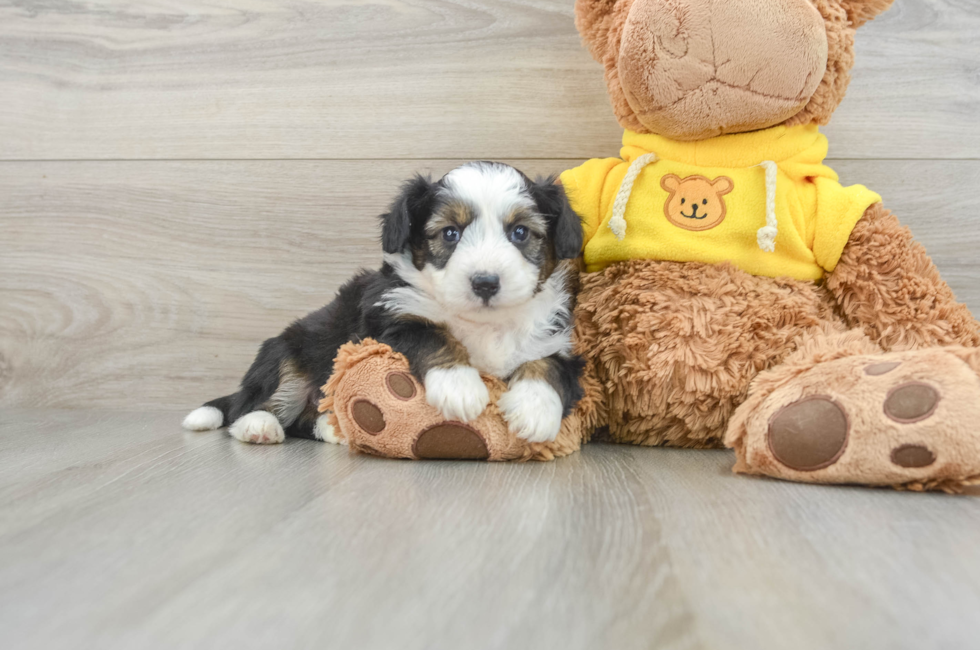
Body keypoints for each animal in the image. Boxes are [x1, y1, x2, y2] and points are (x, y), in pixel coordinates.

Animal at [182, 162, 580, 446]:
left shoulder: (557, 338)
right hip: (286, 350)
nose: (485, 282)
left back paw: (332, 427)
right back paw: (259, 425)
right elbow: (433, 335)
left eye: (520, 232)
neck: (482, 322)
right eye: (450, 233)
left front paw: (535, 410)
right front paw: (460, 386)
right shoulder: (389, 322)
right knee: (255, 402)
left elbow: (546, 365)